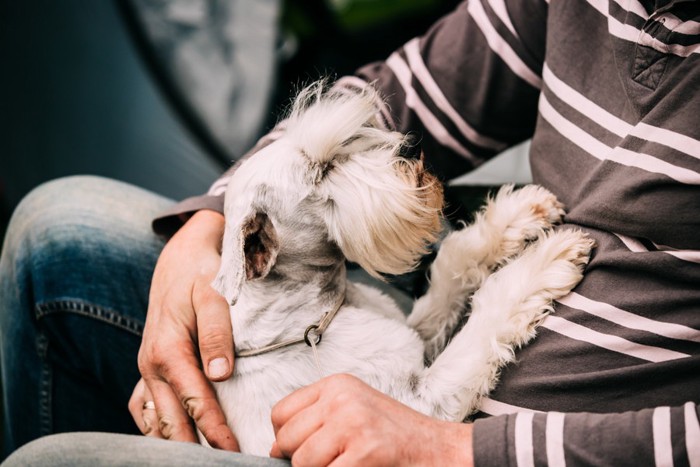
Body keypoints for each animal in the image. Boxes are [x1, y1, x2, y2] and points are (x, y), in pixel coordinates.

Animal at [211, 82, 592, 456]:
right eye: (323, 170)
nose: (410, 150)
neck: (317, 316)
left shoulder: (415, 337)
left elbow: (451, 265)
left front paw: (517, 217)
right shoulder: (421, 402)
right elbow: (484, 321)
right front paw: (547, 259)